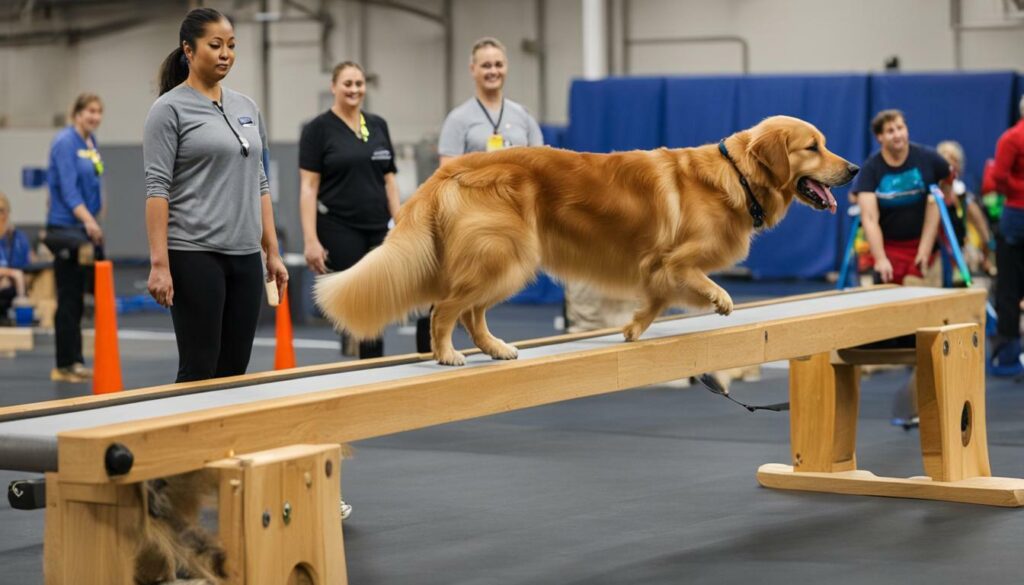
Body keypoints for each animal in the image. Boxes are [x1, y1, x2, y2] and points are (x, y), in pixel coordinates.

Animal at [315, 114, 860, 366]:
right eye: (813, 147)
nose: (854, 168)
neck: (738, 177)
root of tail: (449, 170)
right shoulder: (671, 258)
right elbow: (696, 280)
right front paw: (720, 299)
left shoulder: (653, 269)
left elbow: (654, 301)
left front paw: (632, 328)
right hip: (507, 257)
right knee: (445, 309)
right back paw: (447, 353)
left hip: (507, 261)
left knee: (471, 312)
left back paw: (495, 348)